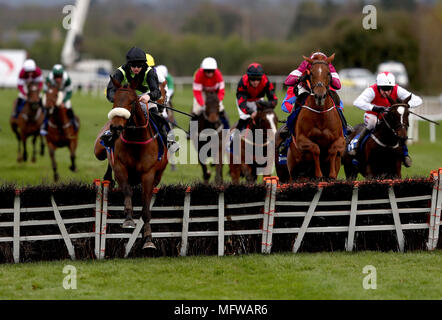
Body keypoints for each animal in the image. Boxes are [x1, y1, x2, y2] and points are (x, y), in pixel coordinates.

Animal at [93, 75, 167, 250]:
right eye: (114, 100)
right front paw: (128, 219)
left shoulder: (148, 175)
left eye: (132, 101)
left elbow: (146, 207)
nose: (116, 127)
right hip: (99, 150)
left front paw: (148, 239)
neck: (136, 141)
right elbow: (127, 191)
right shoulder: (120, 167)